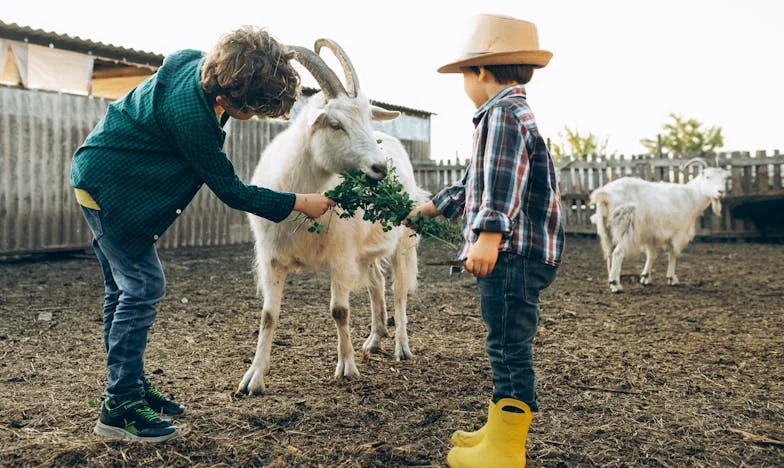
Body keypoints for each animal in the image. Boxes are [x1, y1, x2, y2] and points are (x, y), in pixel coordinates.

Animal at [239, 39, 428, 394]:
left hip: (401, 241)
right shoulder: (272, 259)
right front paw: (253, 377)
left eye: (368, 119)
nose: (378, 169)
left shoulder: (341, 257)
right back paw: (374, 339)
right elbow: (268, 315)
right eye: (335, 124)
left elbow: (339, 311)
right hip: (365, 252)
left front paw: (347, 368)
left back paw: (401, 347)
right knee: (376, 282)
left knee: (398, 291)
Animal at [592, 161, 732, 292]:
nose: (721, 192)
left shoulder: (651, 235)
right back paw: (616, 285)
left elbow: (652, 255)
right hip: (626, 226)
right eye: (708, 177)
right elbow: (673, 253)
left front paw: (645, 278)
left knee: (609, 254)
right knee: (618, 253)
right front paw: (671, 278)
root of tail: (605, 195)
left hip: (606, 229)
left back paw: (611, 281)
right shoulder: (678, 232)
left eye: (724, 178)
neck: (691, 196)